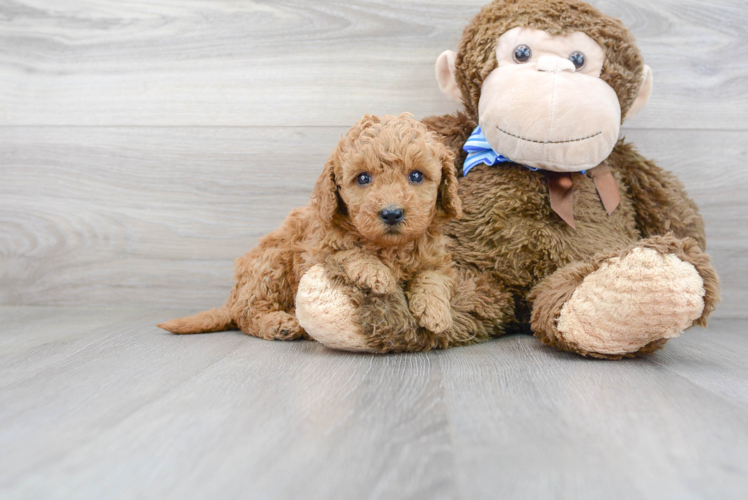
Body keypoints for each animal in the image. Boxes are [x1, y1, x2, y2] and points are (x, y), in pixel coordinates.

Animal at [158, 113, 464, 342]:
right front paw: (376, 273)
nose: (391, 213)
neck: (389, 247)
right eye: (363, 178)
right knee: (247, 313)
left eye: (416, 176)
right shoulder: (315, 251)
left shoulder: (439, 259)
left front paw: (436, 312)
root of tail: (232, 299)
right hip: (271, 264)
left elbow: (433, 277)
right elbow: (346, 252)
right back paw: (279, 324)